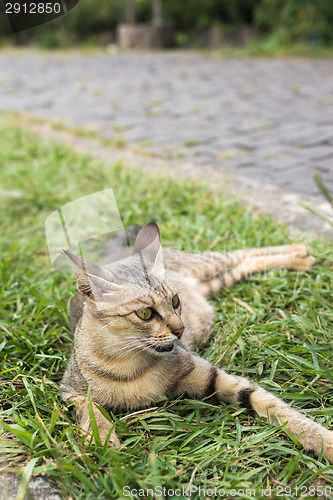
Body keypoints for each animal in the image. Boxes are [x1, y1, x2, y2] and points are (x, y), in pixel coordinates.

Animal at [60, 221, 332, 462]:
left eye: (175, 301)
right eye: (145, 313)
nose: (181, 330)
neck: (128, 364)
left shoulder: (215, 377)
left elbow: (275, 406)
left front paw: (324, 441)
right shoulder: (69, 390)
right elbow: (89, 408)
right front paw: (103, 439)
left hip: (207, 264)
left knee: (242, 253)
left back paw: (300, 250)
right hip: (219, 279)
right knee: (244, 263)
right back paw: (301, 256)